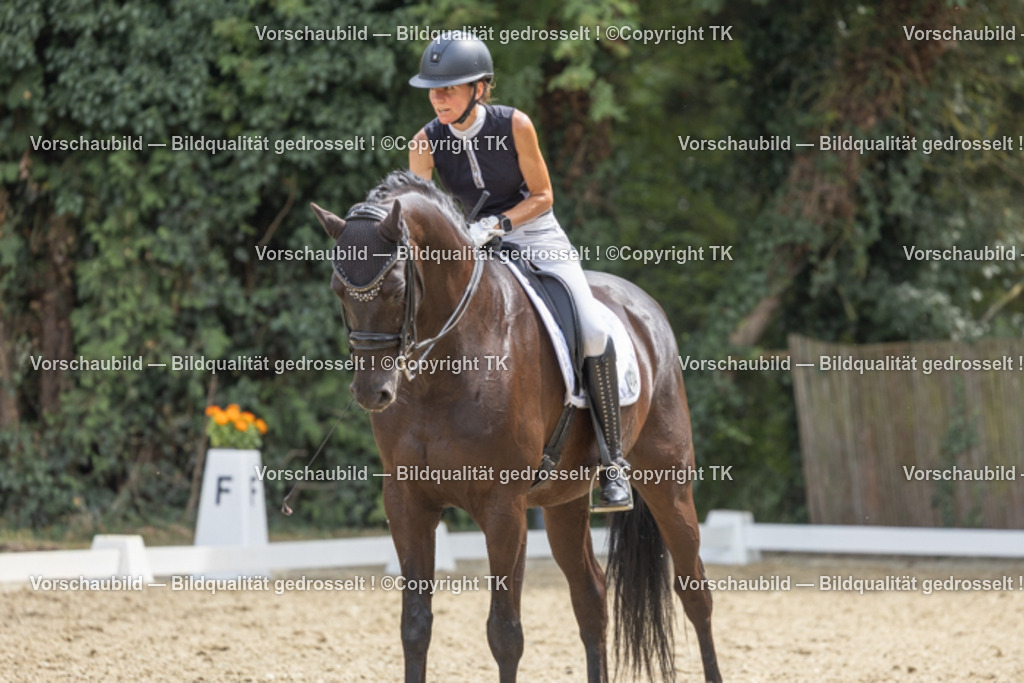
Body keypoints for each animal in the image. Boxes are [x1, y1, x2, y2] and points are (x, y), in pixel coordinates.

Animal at [311, 170, 721, 683]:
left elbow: (505, 632)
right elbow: (415, 625)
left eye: (396, 287)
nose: (372, 392)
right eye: (337, 288)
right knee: (591, 596)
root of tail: (643, 305)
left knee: (694, 592)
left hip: (668, 481)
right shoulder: (407, 502)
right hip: (565, 501)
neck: (447, 364)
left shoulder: (503, 507)